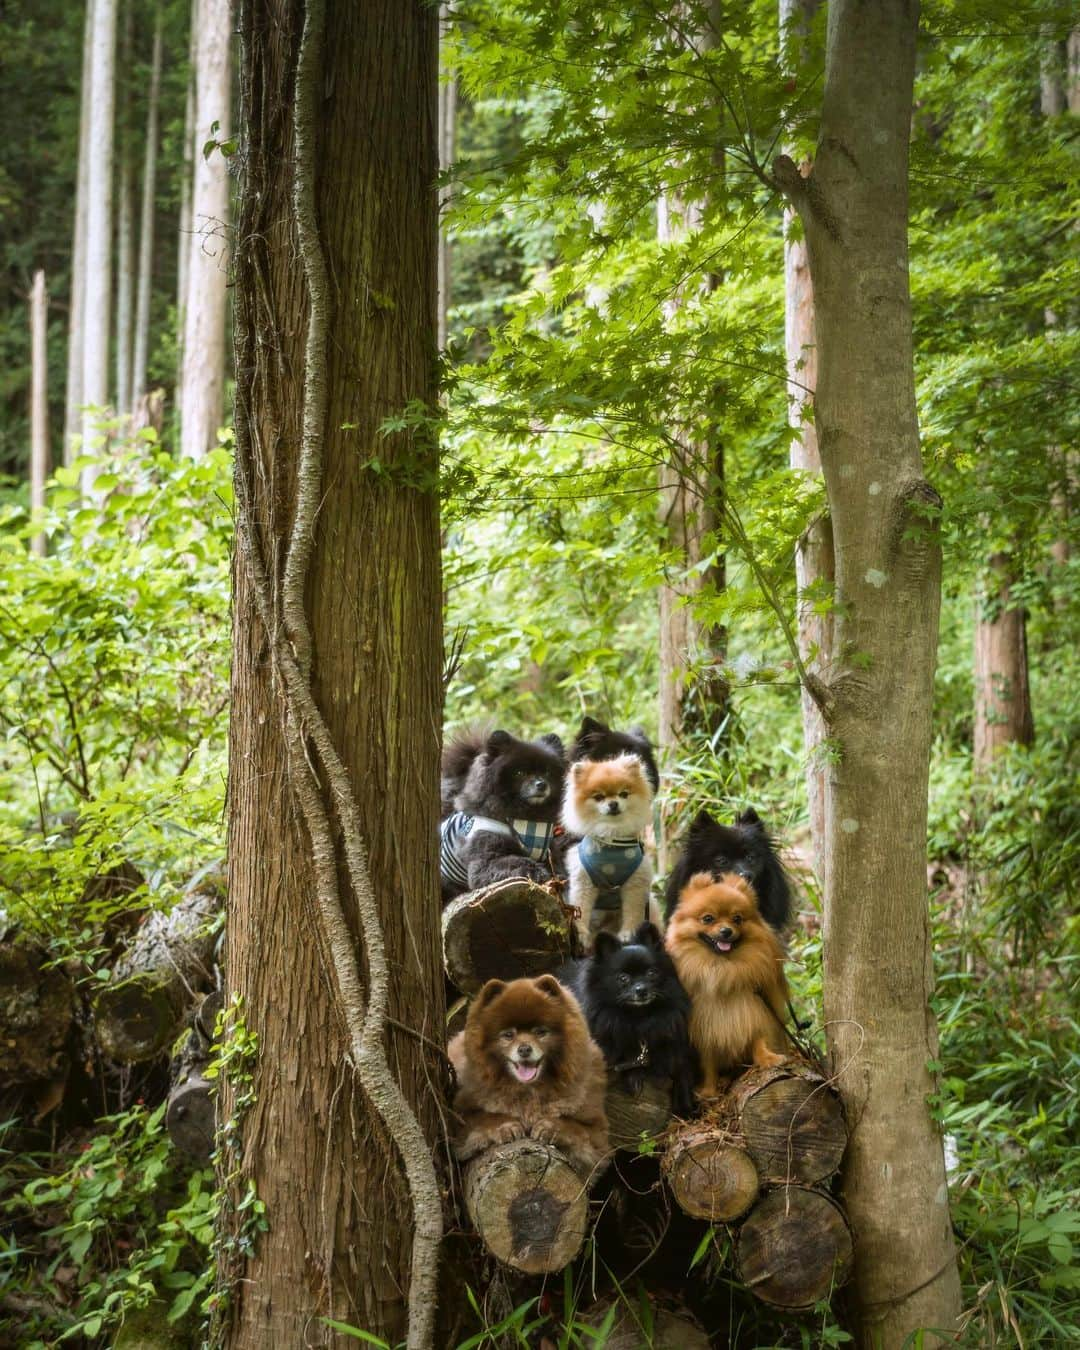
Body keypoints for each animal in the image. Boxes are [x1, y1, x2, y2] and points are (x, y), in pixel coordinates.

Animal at [440, 729, 569, 896]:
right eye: (520, 773)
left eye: (547, 772)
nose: (541, 784)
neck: (528, 821)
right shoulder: (485, 861)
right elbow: (515, 861)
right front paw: (537, 871)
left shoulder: (549, 849)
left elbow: (556, 865)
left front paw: (559, 876)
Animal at [445, 977, 607, 1177]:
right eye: (508, 1035)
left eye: (540, 1032)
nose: (524, 1049)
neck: (529, 1090)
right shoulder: (460, 1115)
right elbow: (484, 1117)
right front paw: (507, 1126)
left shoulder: (597, 1131)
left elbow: (574, 1126)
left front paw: (549, 1127)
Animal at [561, 918, 696, 1117]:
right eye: (623, 978)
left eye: (652, 973)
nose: (641, 990)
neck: (639, 1019)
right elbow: (624, 1058)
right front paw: (634, 1076)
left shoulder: (674, 1044)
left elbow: (682, 1071)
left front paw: (686, 1105)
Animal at [661, 874, 788, 1096]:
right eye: (708, 918)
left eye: (737, 918)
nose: (726, 931)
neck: (722, 968)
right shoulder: (706, 1026)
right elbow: (708, 1062)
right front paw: (708, 1091)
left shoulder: (756, 1009)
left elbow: (759, 1036)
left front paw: (768, 1058)